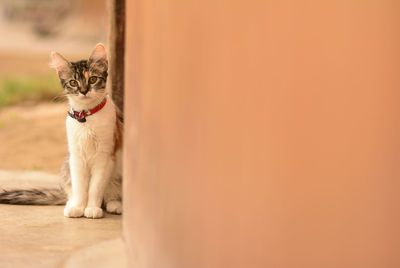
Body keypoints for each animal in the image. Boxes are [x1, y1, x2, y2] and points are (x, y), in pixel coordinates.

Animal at [0, 44, 123, 219]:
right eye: (73, 82)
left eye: (92, 79)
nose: (84, 91)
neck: (86, 118)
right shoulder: (76, 156)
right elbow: (80, 186)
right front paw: (78, 207)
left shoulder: (104, 156)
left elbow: (95, 187)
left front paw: (91, 208)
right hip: (67, 163)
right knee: (70, 190)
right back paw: (71, 204)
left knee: (111, 195)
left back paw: (115, 205)